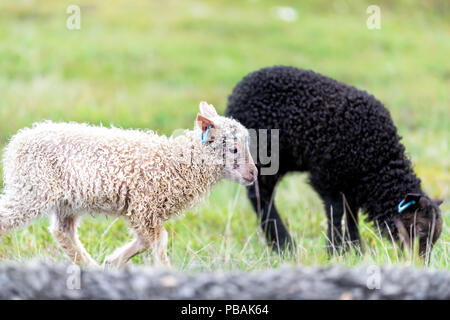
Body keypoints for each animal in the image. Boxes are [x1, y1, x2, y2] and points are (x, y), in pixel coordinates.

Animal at [0, 102, 256, 268]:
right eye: (234, 149)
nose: (253, 173)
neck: (180, 163)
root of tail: (17, 142)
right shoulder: (144, 205)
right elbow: (159, 241)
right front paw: (164, 270)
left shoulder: (142, 210)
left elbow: (146, 241)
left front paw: (113, 262)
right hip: (31, 189)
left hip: (66, 201)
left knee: (63, 232)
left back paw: (90, 267)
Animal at [225, 65, 442, 258]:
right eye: (420, 229)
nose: (421, 262)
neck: (378, 162)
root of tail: (235, 94)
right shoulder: (327, 177)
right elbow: (336, 214)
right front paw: (335, 251)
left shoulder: (352, 184)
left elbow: (352, 216)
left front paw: (357, 251)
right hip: (265, 156)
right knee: (260, 196)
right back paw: (284, 245)